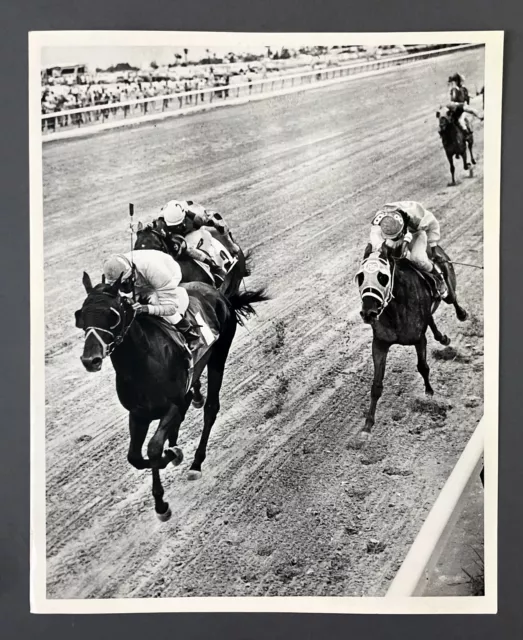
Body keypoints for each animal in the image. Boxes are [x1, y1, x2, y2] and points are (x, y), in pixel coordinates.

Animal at [75, 272, 268, 524]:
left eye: (113, 315)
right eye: (81, 315)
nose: (91, 360)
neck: (142, 363)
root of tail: (216, 292)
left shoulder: (173, 404)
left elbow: (154, 448)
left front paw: (161, 501)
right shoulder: (138, 414)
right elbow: (134, 457)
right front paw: (172, 452)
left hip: (218, 356)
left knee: (211, 408)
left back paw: (196, 462)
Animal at [358, 242, 468, 438]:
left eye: (382, 277)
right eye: (360, 277)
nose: (368, 313)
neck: (395, 310)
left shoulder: (419, 339)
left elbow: (423, 367)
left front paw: (429, 392)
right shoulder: (380, 343)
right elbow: (376, 385)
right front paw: (368, 424)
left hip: (447, 285)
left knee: (452, 298)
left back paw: (461, 314)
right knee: (431, 320)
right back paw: (442, 338)